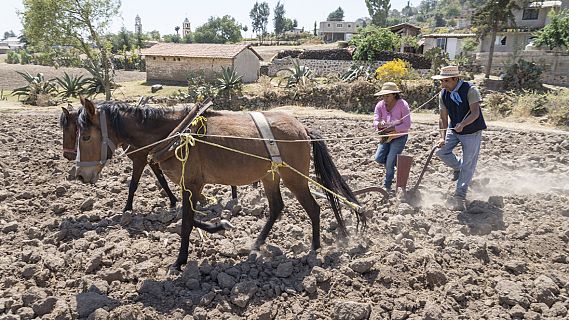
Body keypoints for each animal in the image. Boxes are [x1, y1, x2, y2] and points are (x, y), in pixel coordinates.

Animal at [61, 103, 239, 212]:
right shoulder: (151, 159)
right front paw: (173, 201)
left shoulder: (140, 160)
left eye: (85, 137)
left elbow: (133, 185)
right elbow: (162, 180)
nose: (80, 175)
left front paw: (127, 209)